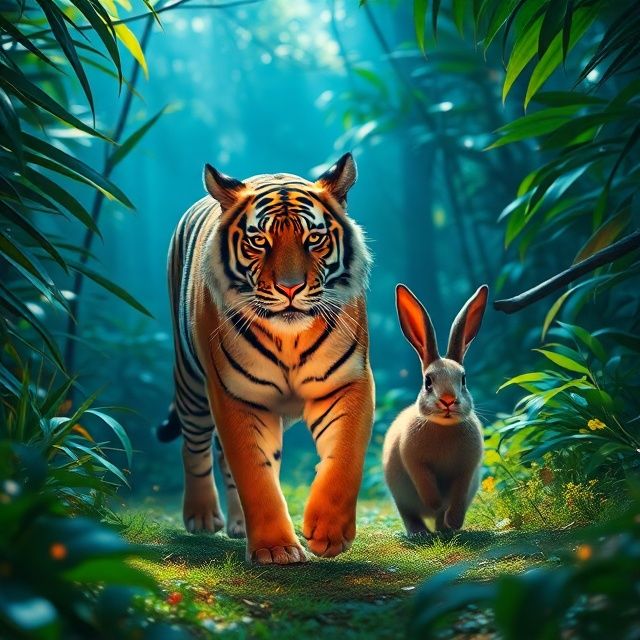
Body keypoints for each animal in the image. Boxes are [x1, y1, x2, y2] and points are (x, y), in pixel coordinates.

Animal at [157, 153, 374, 565]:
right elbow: (254, 474)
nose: (290, 288)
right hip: (191, 385)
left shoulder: (346, 383)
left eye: (314, 239)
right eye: (259, 241)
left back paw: (239, 525)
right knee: (194, 447)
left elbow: (345, 455)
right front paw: (275, 548)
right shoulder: (234, 394)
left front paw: (328, 532)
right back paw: (202, 516)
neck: (290, 338)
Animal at [383, 283, 489, 535]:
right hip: (399, 495)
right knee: (409, 515)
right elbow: (425, 482)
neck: (444, 427)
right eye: (428, 381)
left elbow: (458, 495)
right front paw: (436, 503)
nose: (448, 400)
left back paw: (445, 528)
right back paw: (420, 532)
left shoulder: (467, 469)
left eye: (463, 379)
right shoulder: (413, 460)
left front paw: (454, 521)